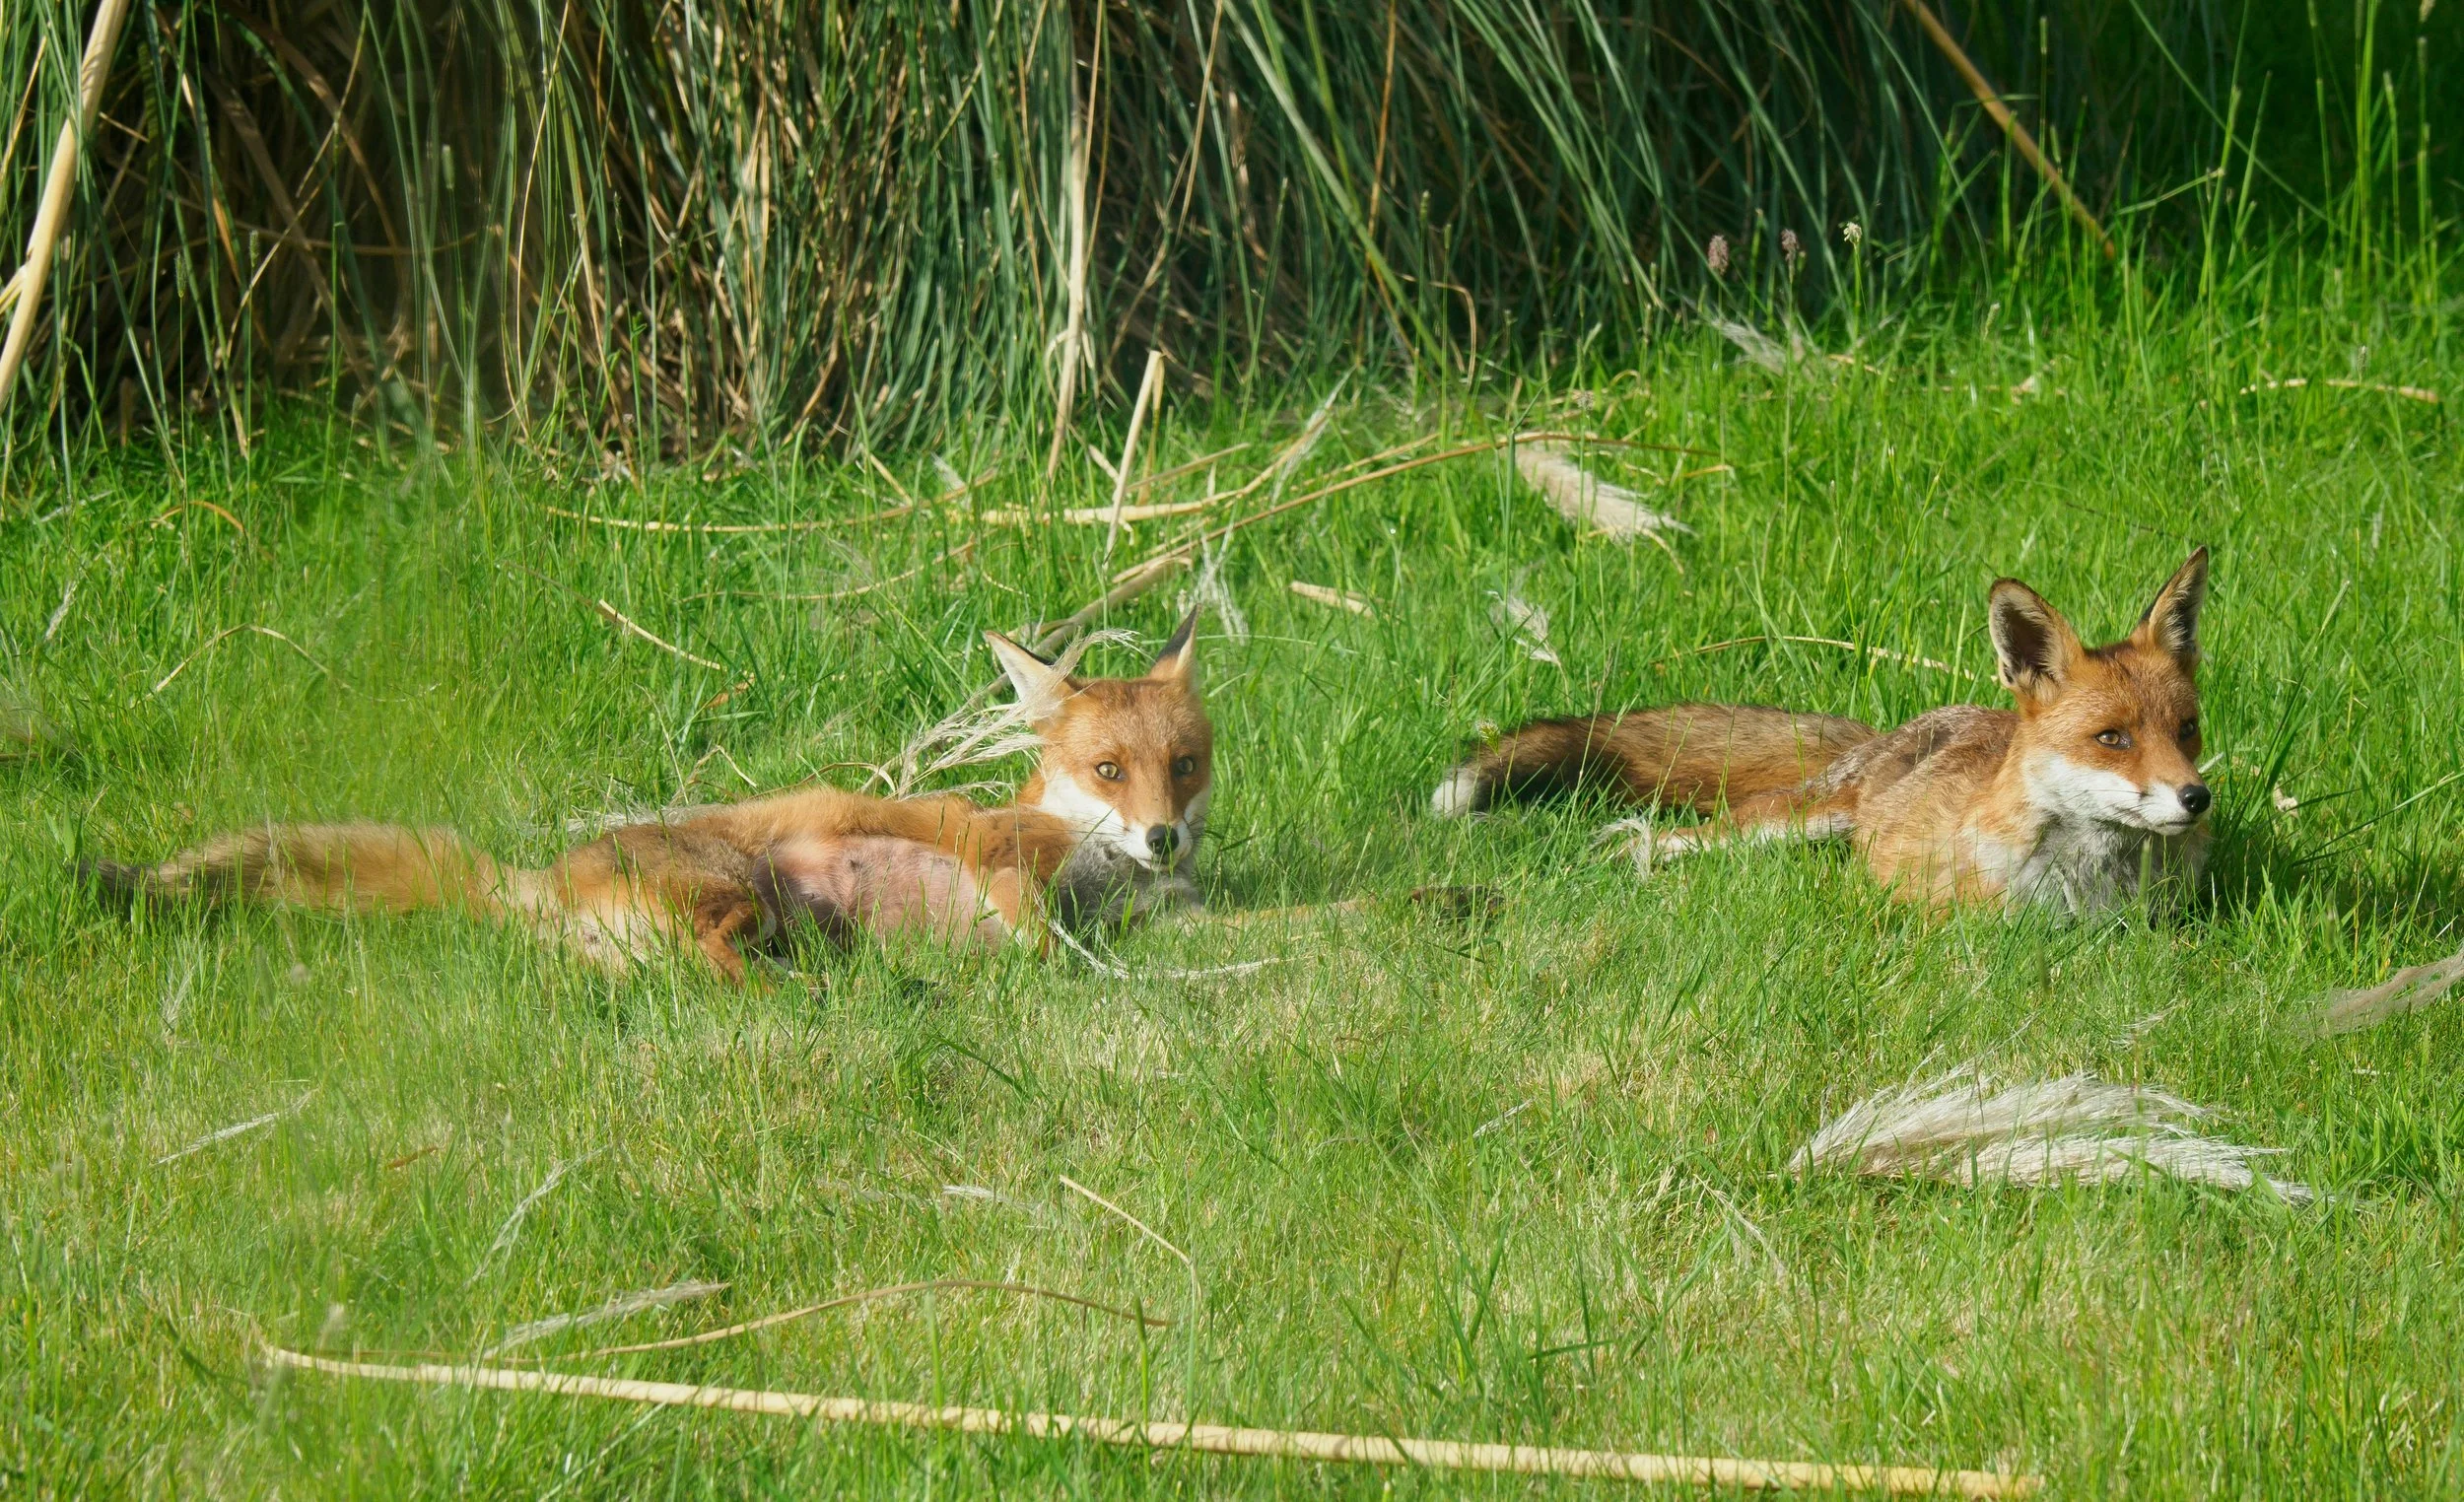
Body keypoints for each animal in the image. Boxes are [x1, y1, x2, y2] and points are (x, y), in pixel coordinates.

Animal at [84, 616, 1214, 979]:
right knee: (717, 966)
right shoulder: (995, 850)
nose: (1163, 837)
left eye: (1185, 765)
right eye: (1108, 772)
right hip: (740, 894)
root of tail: (533, 880)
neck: (1098, 874)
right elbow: (1034, 934)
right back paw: (842, 995)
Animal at [1430, 550, 2214, 914]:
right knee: (1674, 837)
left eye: (2187, 730)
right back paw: (1636, 857)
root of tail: (1889, 735)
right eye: (2112, 738)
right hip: (1787, 820)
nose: (2196, 798)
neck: (2089, 885)